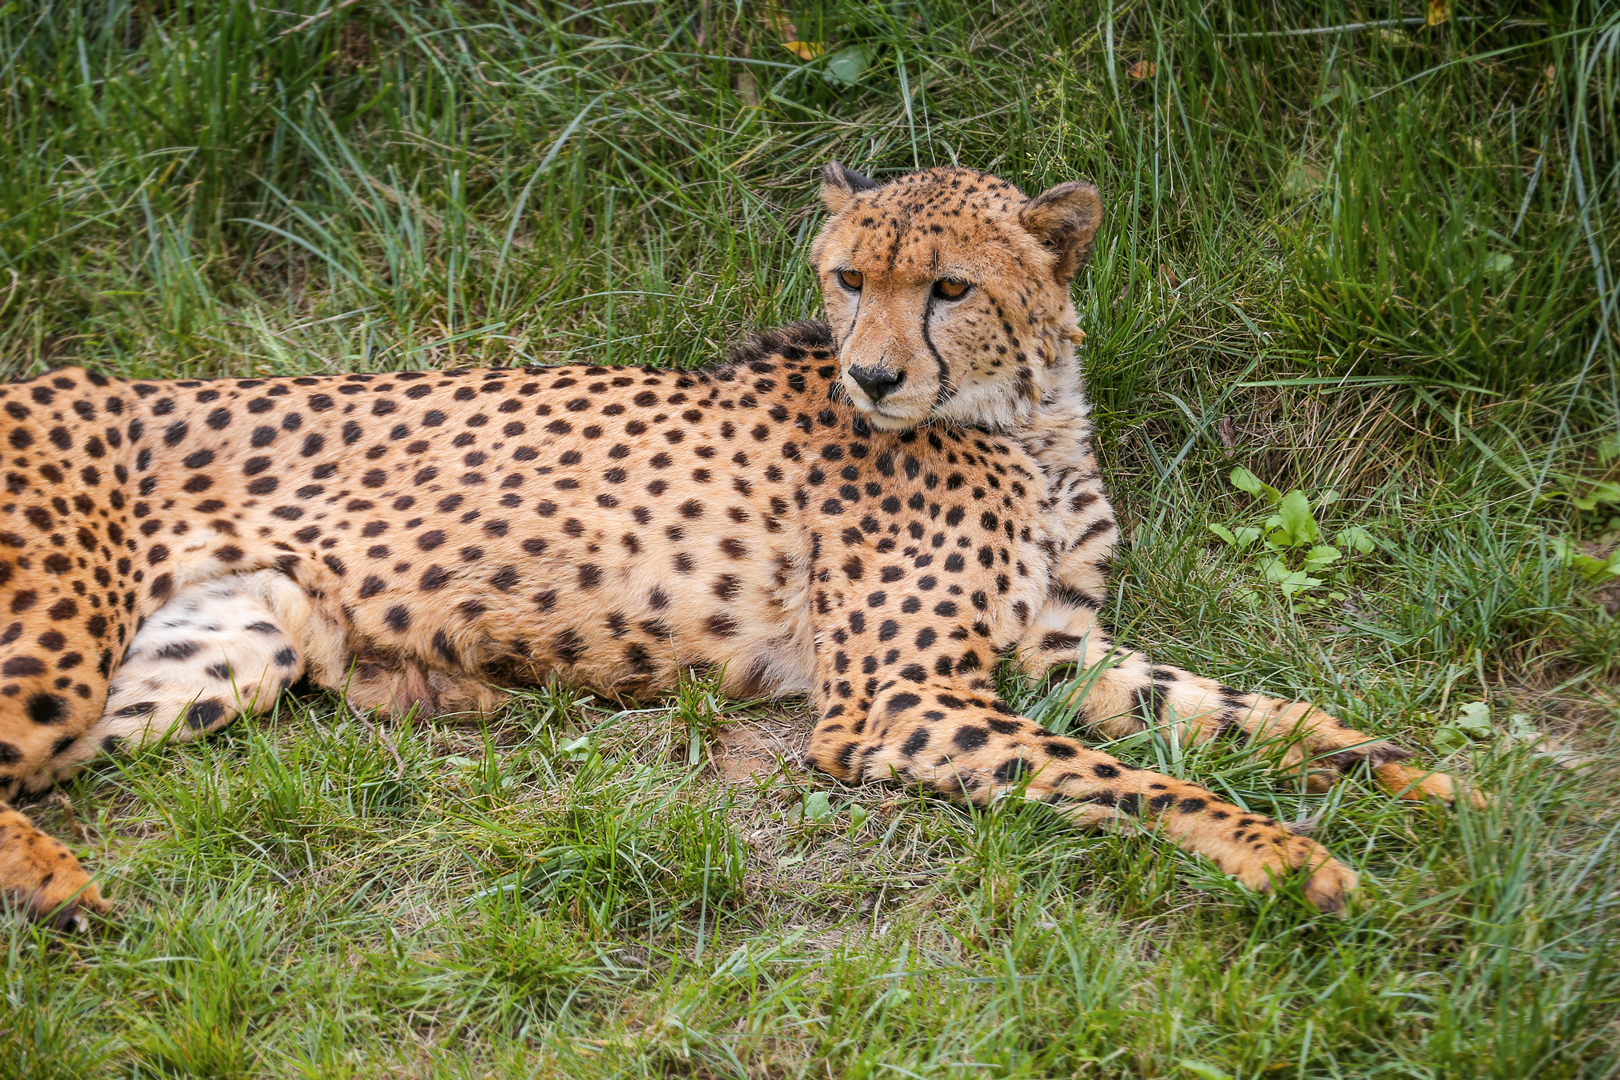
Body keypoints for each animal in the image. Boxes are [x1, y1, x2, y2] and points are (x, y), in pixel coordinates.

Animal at [0, 164, 1476, 928]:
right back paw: (56, 882)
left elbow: (1260, 716)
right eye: (847, 277)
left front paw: (1432, 784)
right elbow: (1138, 779)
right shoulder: (901, 702)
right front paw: (1291, 861)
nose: (872, 376)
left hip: (213, 654)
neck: (1025, 419)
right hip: (61, 645)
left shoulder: (1063, 651)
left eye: (950, 287)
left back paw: (55, 882)